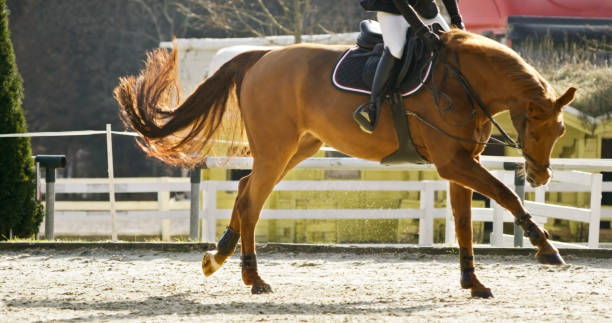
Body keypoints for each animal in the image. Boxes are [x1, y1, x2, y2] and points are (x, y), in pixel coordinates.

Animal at [113, 30, 572, 298]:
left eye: (561, 131)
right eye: (535, 128)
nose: (541, 175)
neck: (463, 81)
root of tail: (261, 57)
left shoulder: (461, 163)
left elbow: (462, 223)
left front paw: (472, 282)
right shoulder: (453, 162)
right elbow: (507, 195)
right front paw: (546, 247)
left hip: (299, 148)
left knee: (245, 191)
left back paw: (219, 257)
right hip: (277, 149)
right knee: (251, 202)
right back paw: (253, 278)